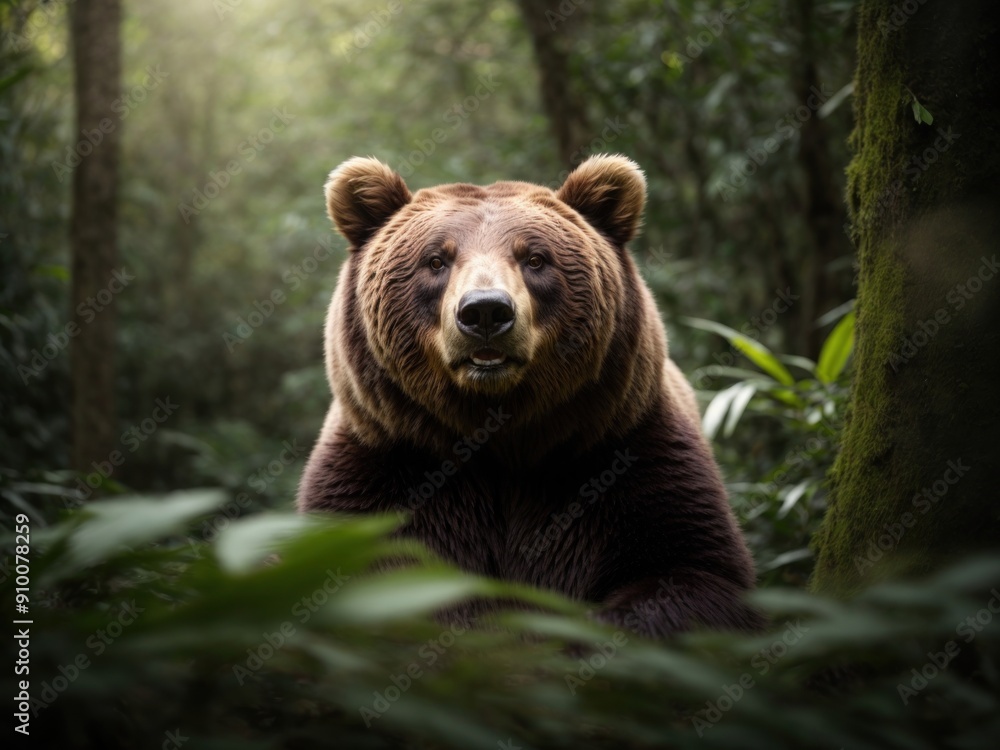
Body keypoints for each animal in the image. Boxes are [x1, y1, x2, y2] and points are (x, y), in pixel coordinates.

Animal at [296, 153, 763, 637]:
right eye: (437, 259)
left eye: (535, 258)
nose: (485, 311)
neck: (503, 440)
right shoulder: (387, 467)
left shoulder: (624, 457)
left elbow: (693, 574)